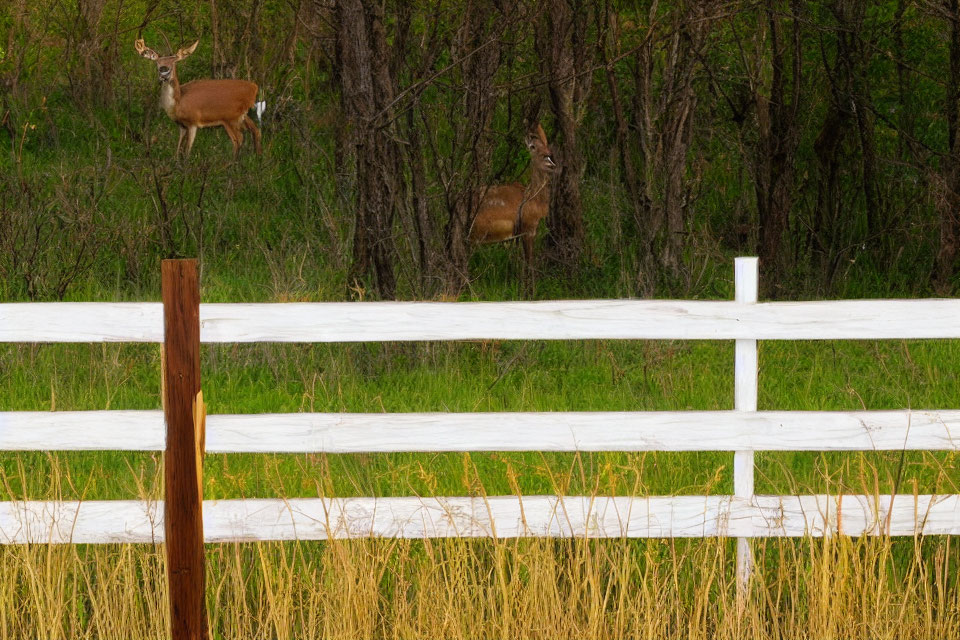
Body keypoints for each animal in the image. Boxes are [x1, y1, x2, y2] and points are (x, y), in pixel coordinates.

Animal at [134, 38, 262, 159]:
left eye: (174, 62)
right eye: (157, 62)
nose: (164, 71)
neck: (178, 102)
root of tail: (254, 88)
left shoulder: (193, 122)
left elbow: (187, 152)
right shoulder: (181, 125)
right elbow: (178, 150)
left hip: (231, 117)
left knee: (238, 139)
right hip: (241, 116)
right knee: (255, 131)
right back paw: (256, 158)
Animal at [470, 123, 560, 276]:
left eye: (546, 145)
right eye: (533, 147)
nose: (548, 158)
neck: (533, 198)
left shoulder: (517, 234)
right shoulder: (528, 227)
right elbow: (529, 263)